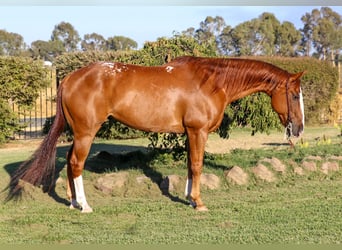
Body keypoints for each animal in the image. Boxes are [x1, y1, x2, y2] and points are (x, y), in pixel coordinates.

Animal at [7, 56, 304, 213]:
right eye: (293, 94)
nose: (299, 129)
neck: (212, 82)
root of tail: (69, 78)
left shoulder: (189, 133)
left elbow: (190, 165)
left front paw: (188, 197)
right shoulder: (198, 131)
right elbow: (197, 165)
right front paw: (198, 202)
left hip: (78, 133)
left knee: (69, 163)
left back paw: (72, 202)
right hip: (85, 133)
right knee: (77, 163)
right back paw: (85, 205)